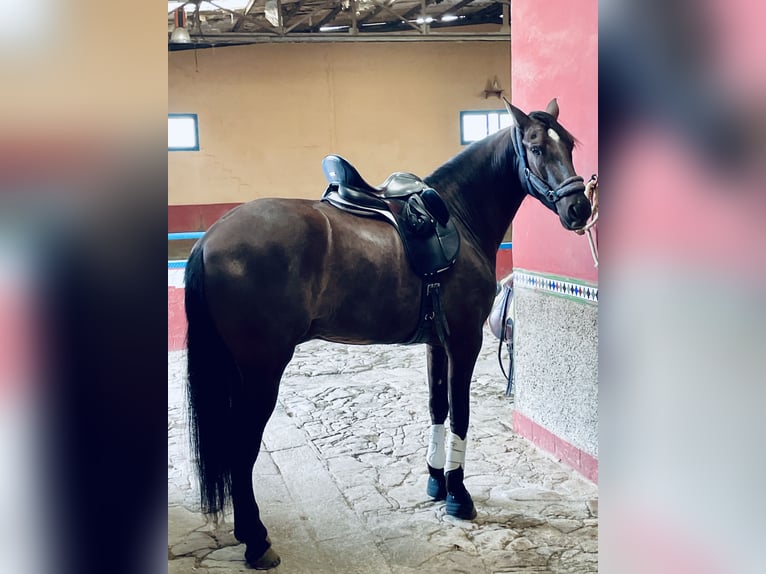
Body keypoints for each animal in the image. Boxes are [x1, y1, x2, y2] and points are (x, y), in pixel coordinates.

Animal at [183, 98, 591, 569]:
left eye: (571, 145)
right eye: (536, 148)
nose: (579, 209)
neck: (458, 215)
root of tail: (211, 237)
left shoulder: (437, 344)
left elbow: (437, 408)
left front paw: (436, 483)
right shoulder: (465, 341)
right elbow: (461, 412)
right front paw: (459, 496)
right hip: (262, 372)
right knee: (242, 447)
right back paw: (255, 540)